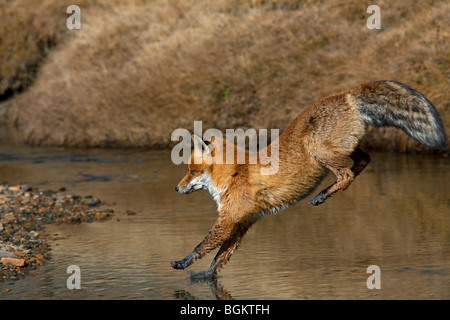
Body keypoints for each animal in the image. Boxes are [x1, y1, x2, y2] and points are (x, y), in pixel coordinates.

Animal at [171, 80, 448, 278]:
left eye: (191, 171)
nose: (176, 188)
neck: (235, 171)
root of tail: (345, 93)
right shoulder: (243, 222)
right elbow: (220, 256)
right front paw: (206, 277)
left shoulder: (228, 219)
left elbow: (202, 245)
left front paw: (183, 263)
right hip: (343, 148)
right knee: (364, 160)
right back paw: (325, 193)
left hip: (318, 150)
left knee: (347, 174)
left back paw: (321, 196)